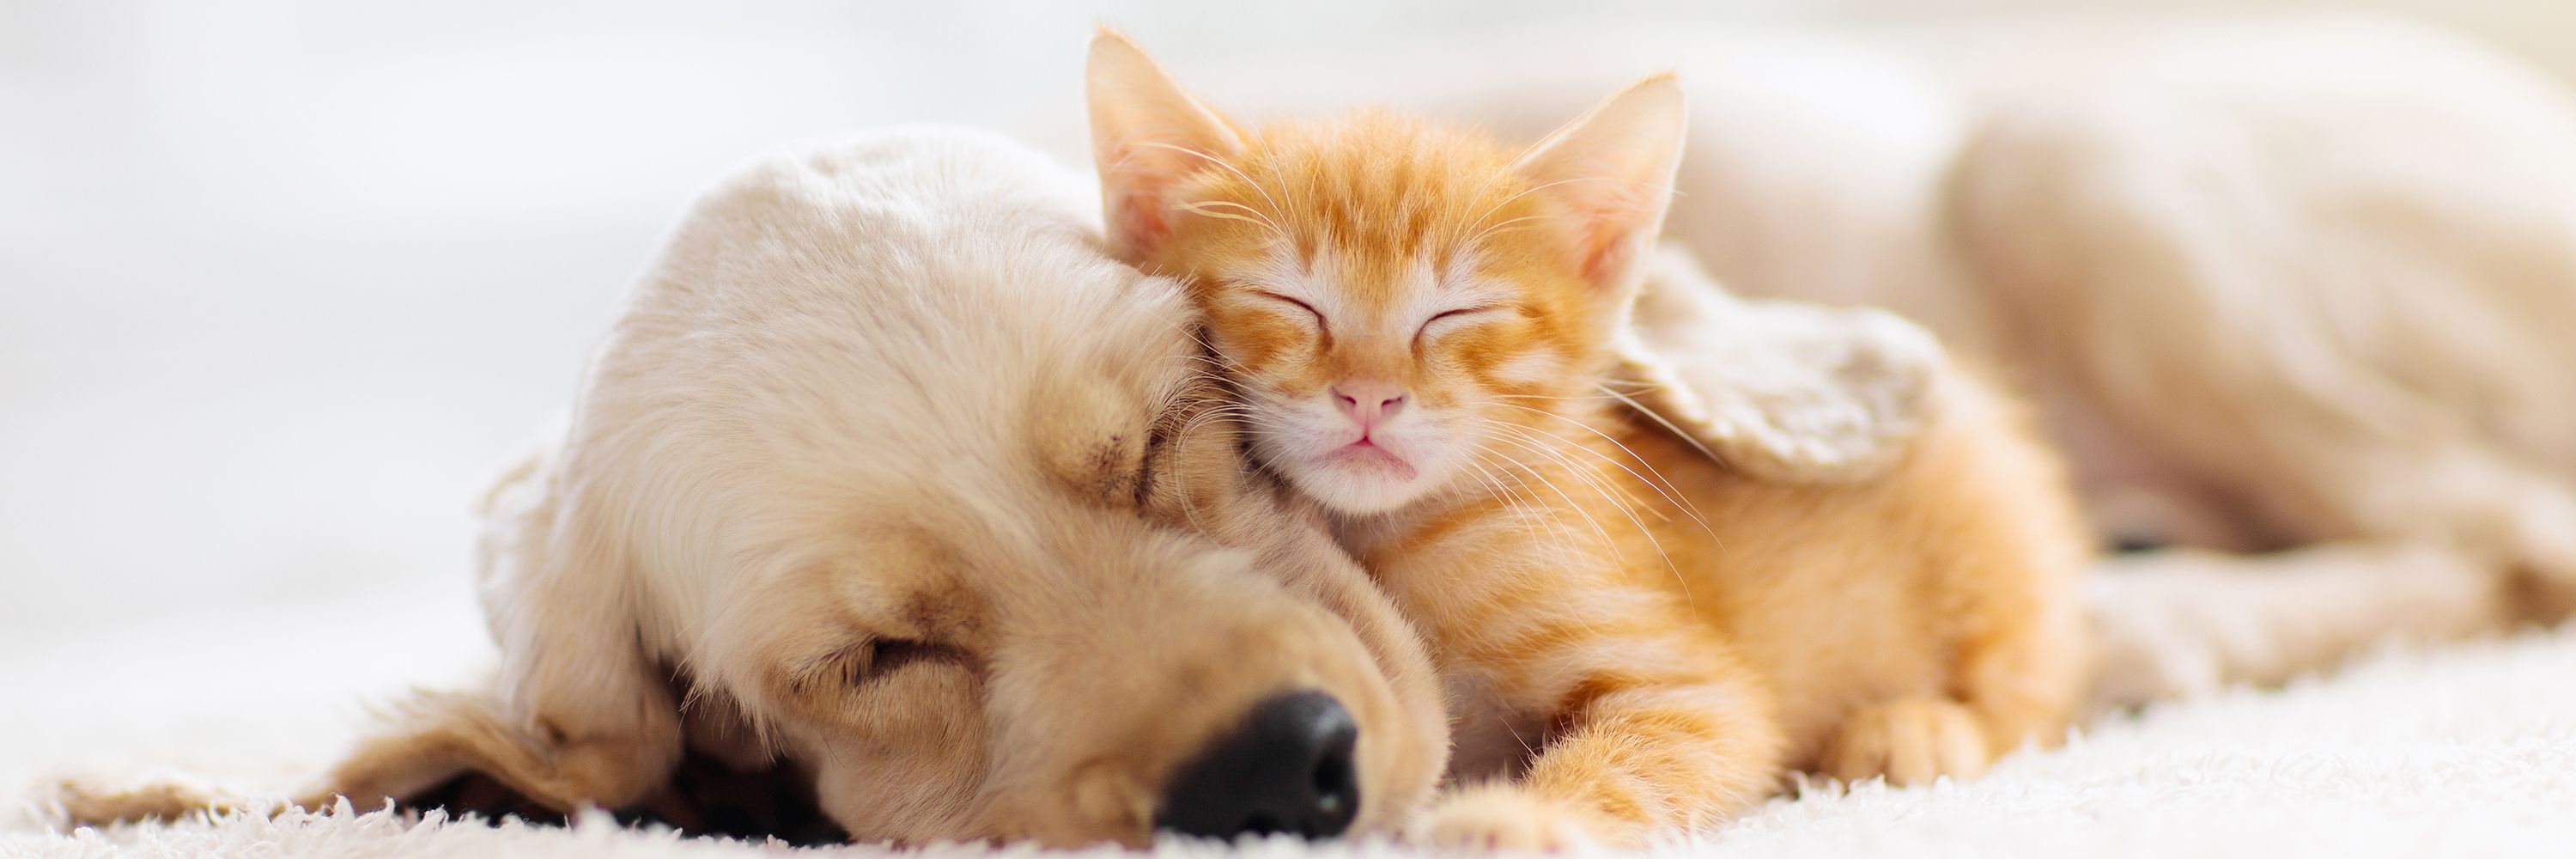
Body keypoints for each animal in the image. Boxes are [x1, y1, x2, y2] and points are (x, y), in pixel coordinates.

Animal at [1087, 34, 2092, 850]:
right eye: (1289, 301)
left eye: (1457, 314)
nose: (1369, 393)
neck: (1392, 541)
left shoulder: (1691, 688)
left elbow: (1648, 751)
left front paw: (1520, 818)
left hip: (1990, 529)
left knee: (2036, 690)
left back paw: (1920, 726)